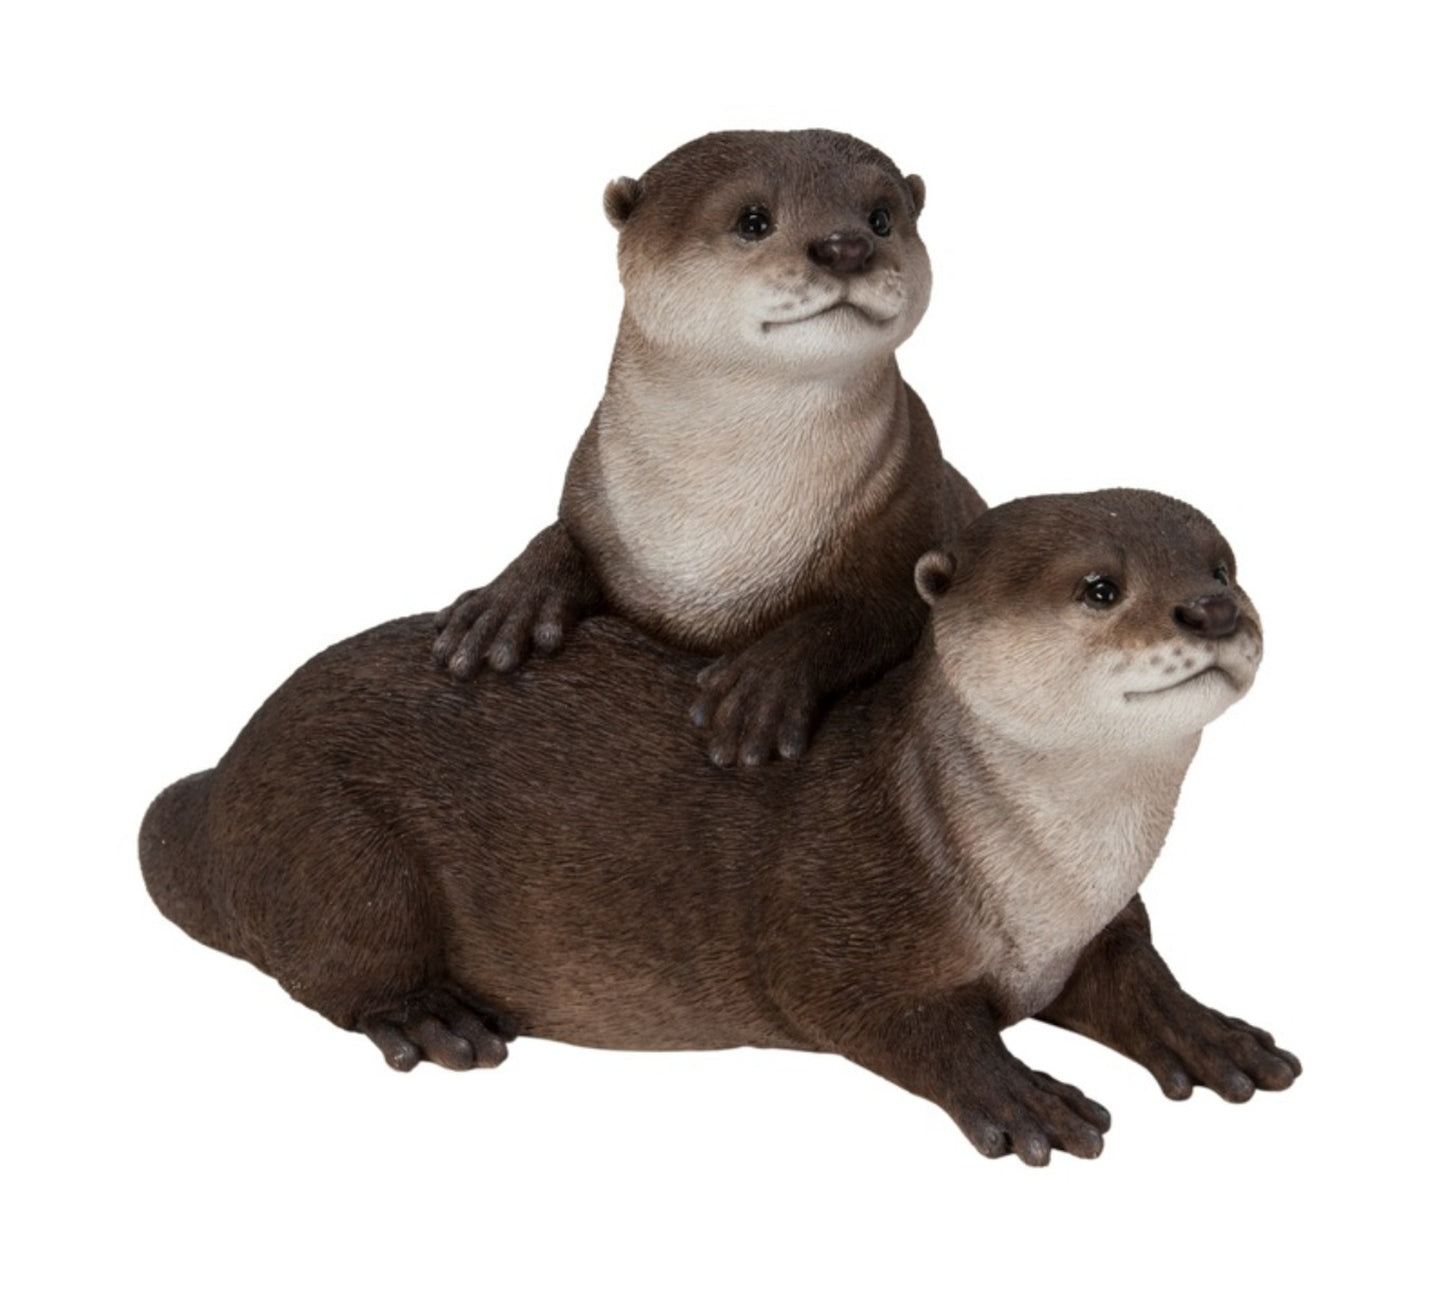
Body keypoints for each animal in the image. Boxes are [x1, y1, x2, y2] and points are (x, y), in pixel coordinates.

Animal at [142, 490, 1298, 1164]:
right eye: (1101, 587)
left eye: (1224, 564)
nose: (1212, 612)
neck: (1042, 880)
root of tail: (229, 778)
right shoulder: (845, 907)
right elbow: (895, 1016)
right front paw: (1021, 1095)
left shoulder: (1089, 927)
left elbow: (1133, 976)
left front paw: (1207, 1032)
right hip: (337, 847)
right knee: (334, 972)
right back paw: (434, 1020)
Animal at [432, 128, 985, 766]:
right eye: (753, 220)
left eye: (880, 218)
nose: (847, 247)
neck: (716, 541)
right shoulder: (590, 496)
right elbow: (566, 536)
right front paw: (504, 607)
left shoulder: (913, 507)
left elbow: (866, 612)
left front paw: (762, 688)